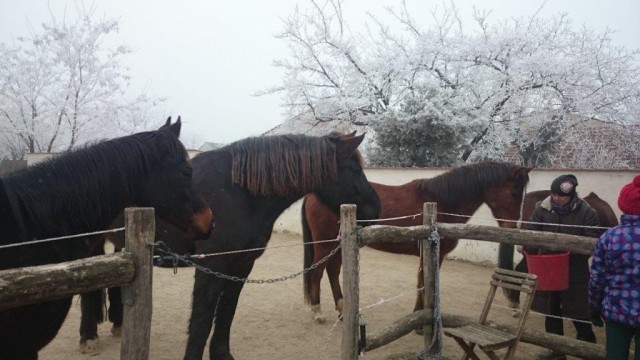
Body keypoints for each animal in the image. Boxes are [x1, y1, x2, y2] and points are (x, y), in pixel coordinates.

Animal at [172, 132, 380, 360]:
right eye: (356, 170)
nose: (377, 208)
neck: (234, 191)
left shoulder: (240, 266)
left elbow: (227, 311)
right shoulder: (211, 267)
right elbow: (201, 322)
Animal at [302, 162, 532, 322]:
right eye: (514, 193)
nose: (513, 227)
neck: (441, 201)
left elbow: (423, 281)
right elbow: (424, 282)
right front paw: (420, 320)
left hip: (337, 244)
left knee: (332, 271)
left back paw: (342, 312)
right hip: (325, 244)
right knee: (317, 271)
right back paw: (317, 312)